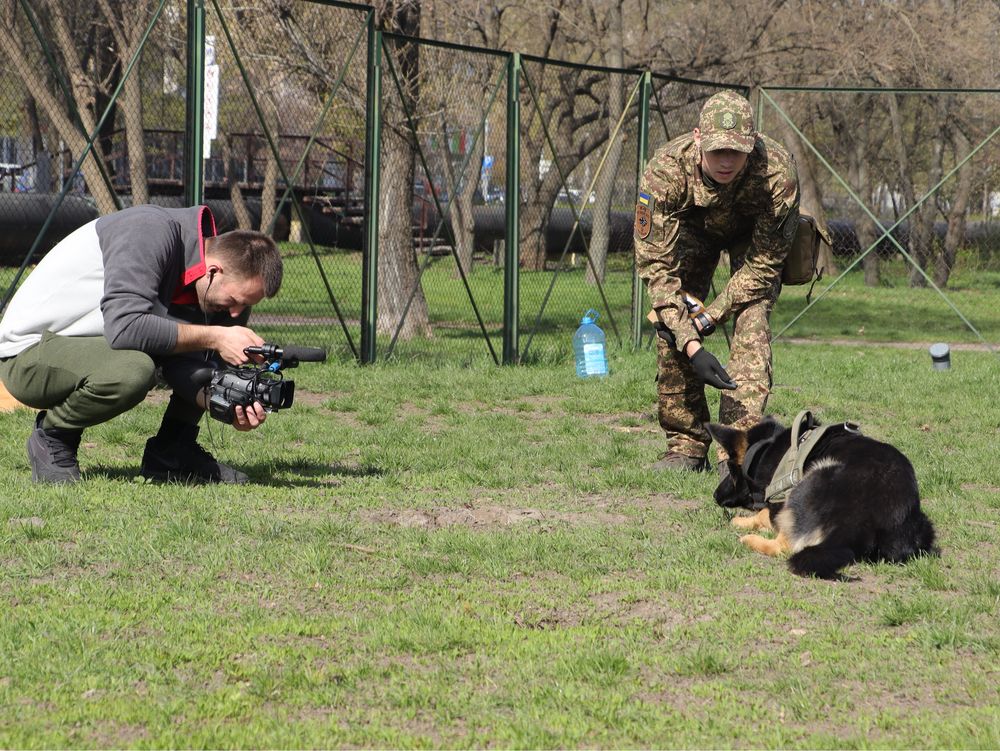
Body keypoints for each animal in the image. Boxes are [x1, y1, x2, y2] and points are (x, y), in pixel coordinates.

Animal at [708, 414, 932, 580]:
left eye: (730, 469)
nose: (715, 495)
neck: (767, 448)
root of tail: (861, 523)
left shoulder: (781, 497)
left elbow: (766, 513)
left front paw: (743, 521)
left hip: (814, 475)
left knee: (784, 546)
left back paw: (749, 539)